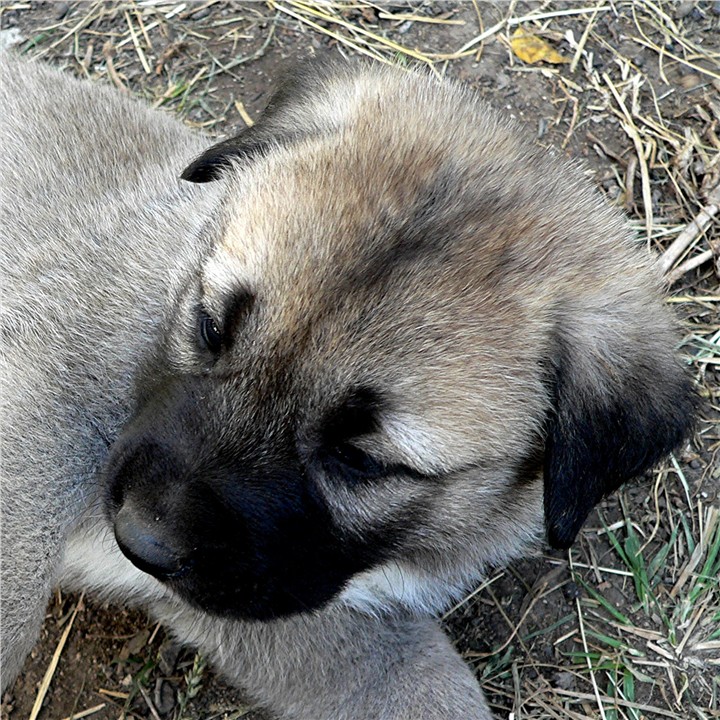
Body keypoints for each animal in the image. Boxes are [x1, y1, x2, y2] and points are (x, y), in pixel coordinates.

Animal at [1, 53, 696, 716]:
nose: (140, 540)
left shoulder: (289, 595)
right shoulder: (49, 382)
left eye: (361, 459)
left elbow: (427, 685)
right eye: (210, 326)